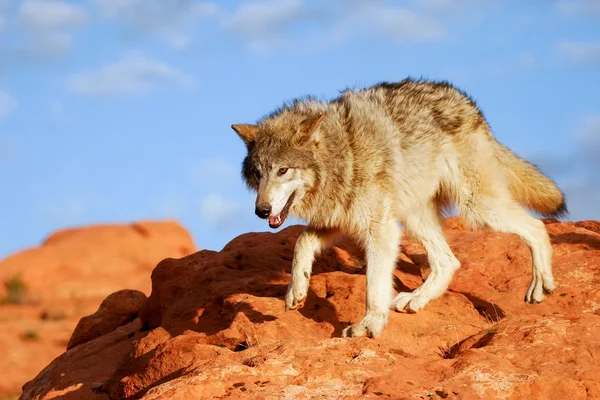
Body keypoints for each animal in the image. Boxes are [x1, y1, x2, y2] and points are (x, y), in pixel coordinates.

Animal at [230, 77, 568, 338]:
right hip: (416, 217)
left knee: (536, 227)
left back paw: (541, 284)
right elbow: (302, 243)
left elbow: (374, 285)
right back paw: (415, 300)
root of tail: (469, 105)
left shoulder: (379, 229)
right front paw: (296, 291)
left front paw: (369, 324)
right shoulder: (340, 219)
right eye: (258, 174)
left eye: (283, 171)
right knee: (449, 262)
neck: (342, 154)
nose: (261, 211)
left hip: (476, 206)